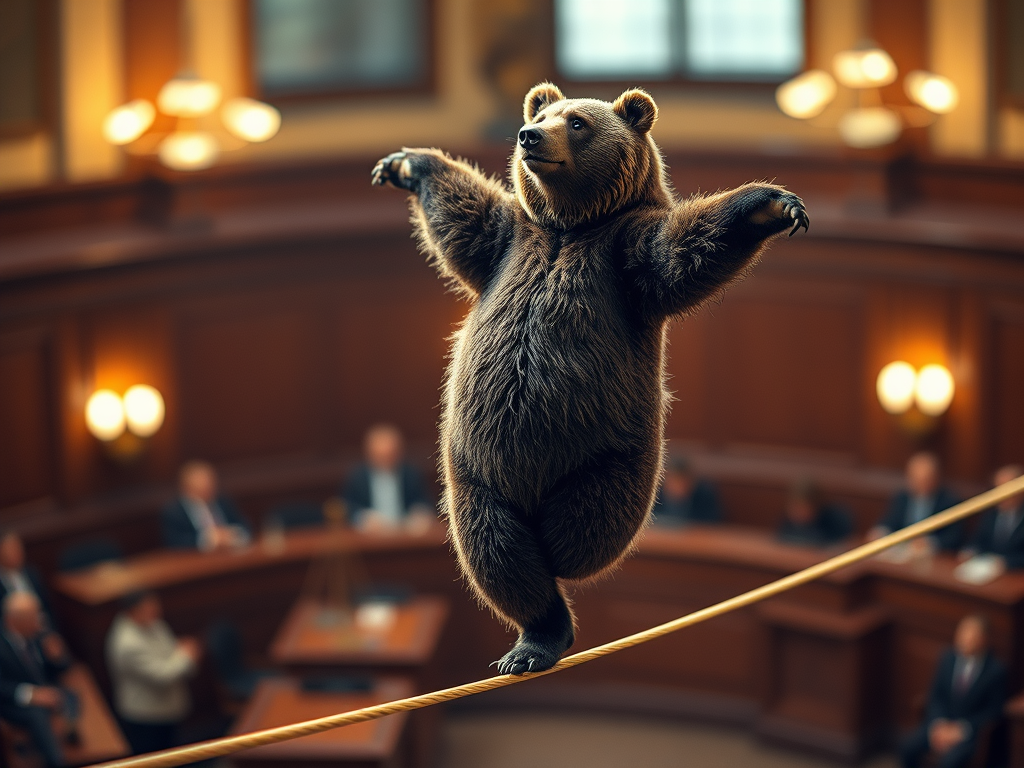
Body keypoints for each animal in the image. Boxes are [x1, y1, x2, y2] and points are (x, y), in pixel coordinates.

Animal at [371, 83, 808, 675]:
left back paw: (557, 585)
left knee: (583, 528)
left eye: (577, 122)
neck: (569, 226)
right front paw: (405, 164)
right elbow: (465, 217)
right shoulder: (509, 243)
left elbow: (681, 253)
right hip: (479, 477)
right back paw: (534, 638)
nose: (529, 136)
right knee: (498, 553)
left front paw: (769, 204)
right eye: (546, 114)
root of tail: (535, 502)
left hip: (604, 450)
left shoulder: (623, 255)